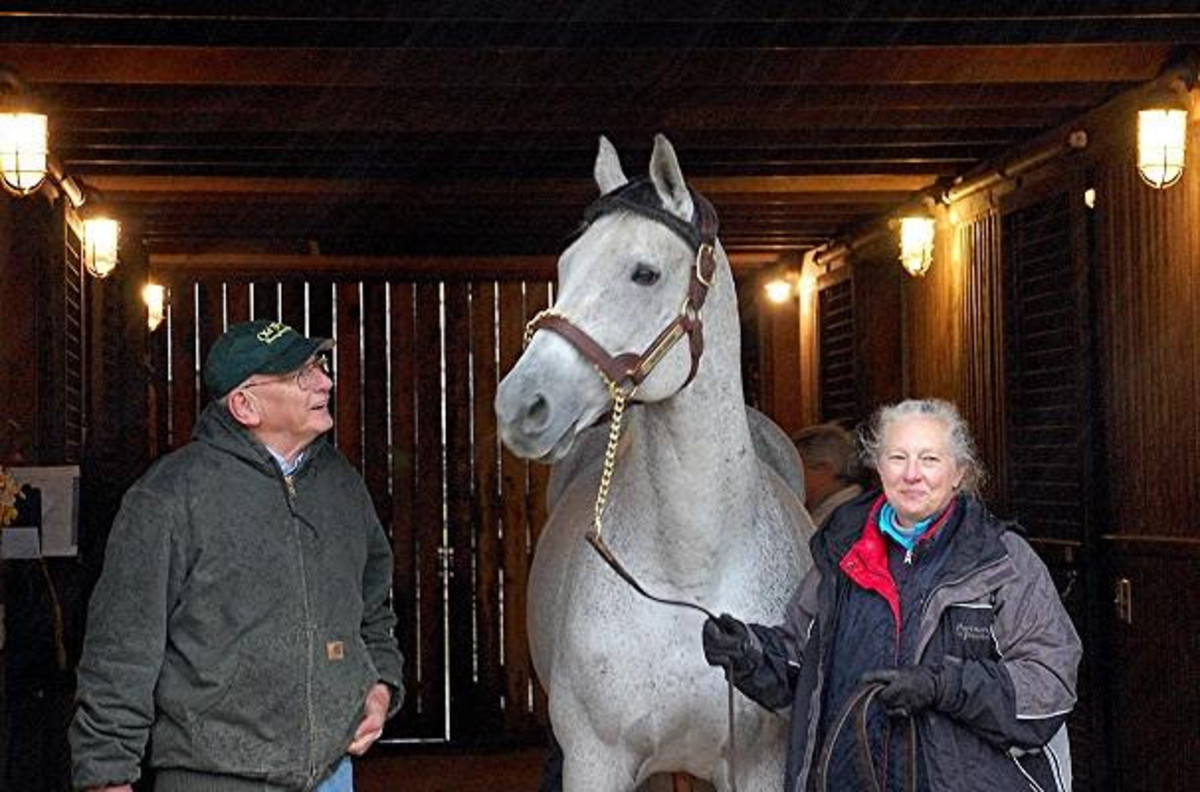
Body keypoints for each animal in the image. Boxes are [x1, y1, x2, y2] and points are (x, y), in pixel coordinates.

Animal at [494, 133, 816, 787]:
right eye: (565, 268)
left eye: (644, 273)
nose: (521, 404)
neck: (689, 573)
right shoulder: (595, 762)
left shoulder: (758, 766)